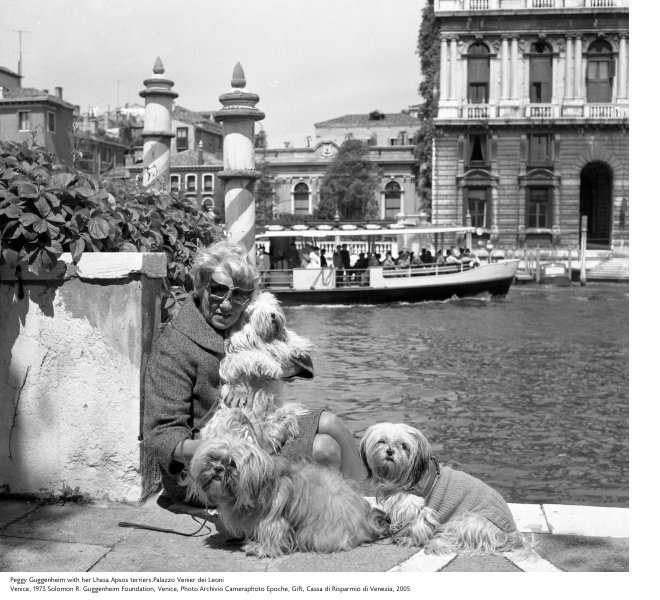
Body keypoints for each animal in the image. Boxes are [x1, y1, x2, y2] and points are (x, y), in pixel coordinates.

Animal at [360, 424, 532, 556]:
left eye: (404, 446)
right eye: (382, 441)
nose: (390, 451)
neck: (404, 475)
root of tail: (512, 532)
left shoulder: (417, 507)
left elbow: (414, 525)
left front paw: (406, 539)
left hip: (469, 521)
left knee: (456, 539)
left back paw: (436, 545)